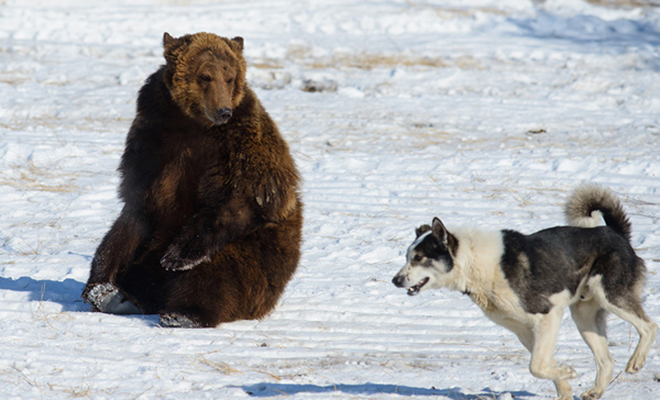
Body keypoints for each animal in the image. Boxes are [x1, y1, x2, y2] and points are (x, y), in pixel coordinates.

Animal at [80, 32, 304, 328]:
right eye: (205, 76)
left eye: (230, 77)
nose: (223, 111)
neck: (193, 123)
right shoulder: (153, 139)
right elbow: (138, 204)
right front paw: (103, 282)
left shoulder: (240, 144)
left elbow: (247, 196)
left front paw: (177, 256)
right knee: (120, 237)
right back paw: (108, 291)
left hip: (262, 260)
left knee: (218, 269)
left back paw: (184, 312)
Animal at [392, 185, 656, 400]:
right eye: (407, 256)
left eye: (418, 258)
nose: (395, 280)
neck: (473, 262)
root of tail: (615, 233)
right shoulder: (524, 330)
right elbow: (542, 364)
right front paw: (564, 386)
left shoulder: (547, 315)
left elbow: (536, 366)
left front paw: (568, 371)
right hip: (584, 318)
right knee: (606, 361)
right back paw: (596, 391)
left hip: (611, 297)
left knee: (649, 326)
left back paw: (636, 361)